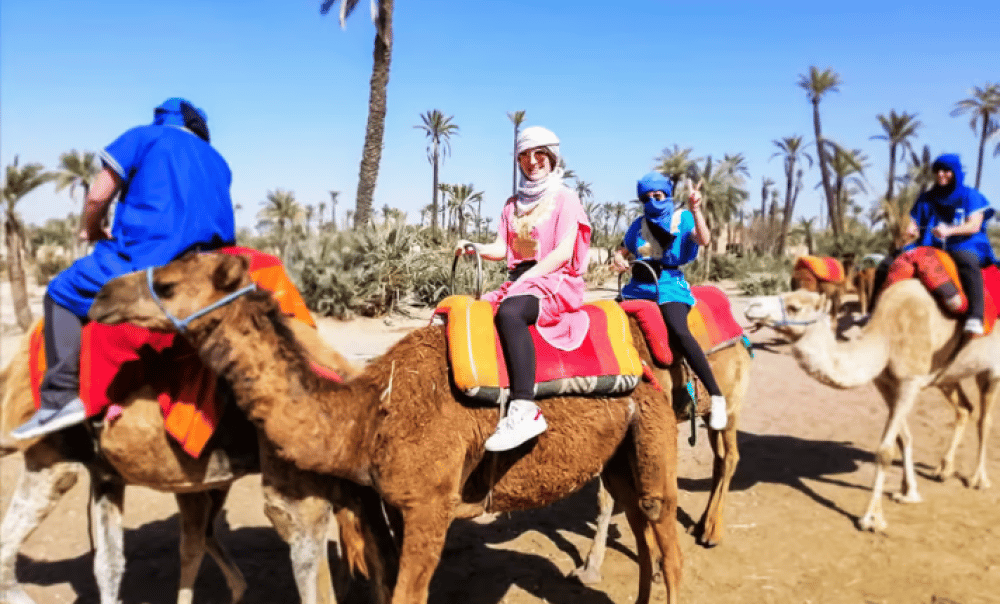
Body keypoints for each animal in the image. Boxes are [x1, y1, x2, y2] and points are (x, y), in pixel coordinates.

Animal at [87, 252, 685, 604]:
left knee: (665, 537)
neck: (370, 412)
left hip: (654, 427)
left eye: (166, 283)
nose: (100, 295)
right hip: (619, 453)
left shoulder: (430, 505)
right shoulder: (395, 504)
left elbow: (407, 594)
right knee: (640, 525)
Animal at [573, 332, 752, 584]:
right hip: (709, 415)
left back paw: (712, 533)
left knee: (730, 458)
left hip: (730, 406)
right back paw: (700, 526)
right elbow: (605, 499)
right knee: (718, 459)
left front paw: (656, 563)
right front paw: (589, 568)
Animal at [743, 281, 998, 531]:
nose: (751, 306)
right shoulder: (884, 383)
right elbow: (904, 438)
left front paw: (872, 518)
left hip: (990, 370)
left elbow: (885, 450)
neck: (885, 337)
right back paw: (943, 470)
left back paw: (978, 479)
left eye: (794, 307)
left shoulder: (910, 381)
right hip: (947, 377)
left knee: (984, 420)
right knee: (965, 408)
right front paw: (909, 492)